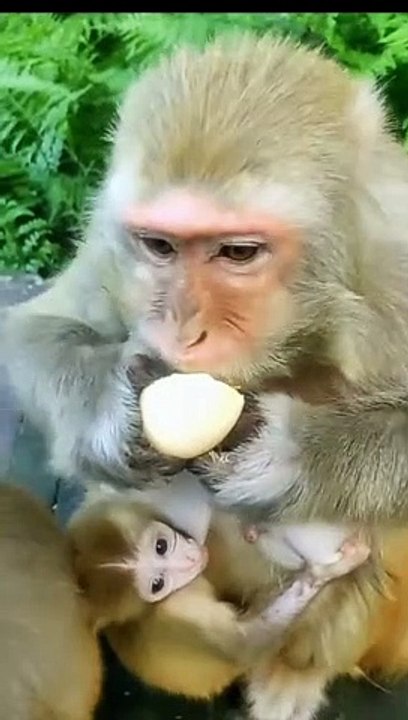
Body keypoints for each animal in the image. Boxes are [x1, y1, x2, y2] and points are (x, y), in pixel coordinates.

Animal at [3, 31, 408, 718]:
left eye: (238, 252)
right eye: (160, 246)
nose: (182, 332)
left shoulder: (395, 264)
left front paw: (291, 455)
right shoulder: (113, 243)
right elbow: (35, 330)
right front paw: (107, 413)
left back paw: (294, 669)